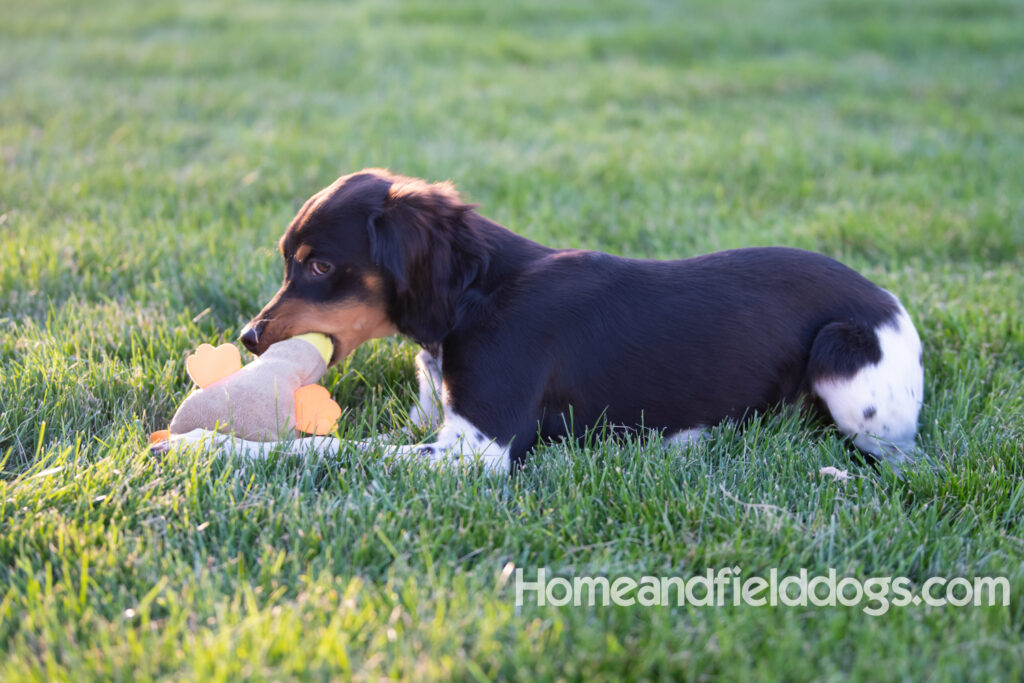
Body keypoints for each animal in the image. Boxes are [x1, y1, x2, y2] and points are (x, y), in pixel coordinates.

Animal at [239, 167, 929, 473]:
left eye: (320, 265)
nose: (248, 337)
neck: (475, 299)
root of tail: (887, 298)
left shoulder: (478, 449)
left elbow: (321, 448)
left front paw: (218, 446)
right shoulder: (437, 427)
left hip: (844, 353)